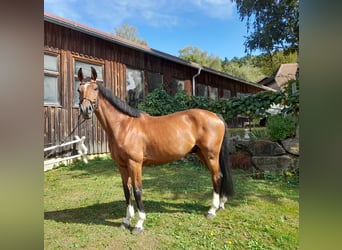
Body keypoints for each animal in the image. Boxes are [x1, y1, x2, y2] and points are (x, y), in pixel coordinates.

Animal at [77, 67, 232, 234]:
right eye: (79, 89)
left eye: (95, 88)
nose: (85, 110)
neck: (124, 126)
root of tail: (215, 115)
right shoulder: (122, 165)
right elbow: (127, 190)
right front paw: (126, 221)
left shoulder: (135, 164)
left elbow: (137, 190)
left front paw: (139, 224)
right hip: (202, 154)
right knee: (217, 176)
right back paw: (220, 205)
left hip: (211, 155)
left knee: (217, 176)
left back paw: (212, 210)